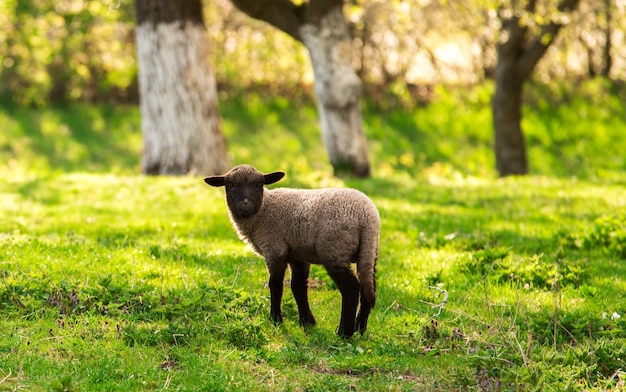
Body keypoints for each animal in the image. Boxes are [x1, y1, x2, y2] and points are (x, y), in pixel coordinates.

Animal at [205, 165, 380, 336]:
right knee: (367, 287)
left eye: (258, 185)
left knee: (351, 288)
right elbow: (298, 287)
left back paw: (344, 332)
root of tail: (367, 217)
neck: (263, 210)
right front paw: (307, 322)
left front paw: (275, 319)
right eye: (231, 185)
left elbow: (275, 285)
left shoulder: (275, 250)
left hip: (335, 250)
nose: (245, 204)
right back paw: (360, 328)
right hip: (368, 252)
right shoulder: (297, 256)